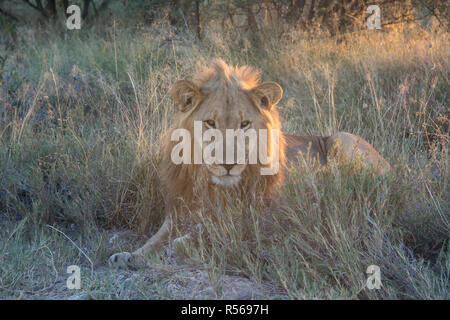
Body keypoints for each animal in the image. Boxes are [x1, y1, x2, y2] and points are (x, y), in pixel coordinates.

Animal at [110, 59, 390, 268]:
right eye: (210, 123)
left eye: (244, 124)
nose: (228, 164)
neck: (214, 186)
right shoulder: (179, 212)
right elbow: (153, 241)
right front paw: (128, 256)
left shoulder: (262, 216)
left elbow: (209, 230)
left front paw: (179, 245)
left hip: (342, 139)